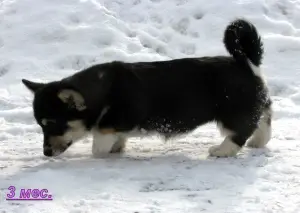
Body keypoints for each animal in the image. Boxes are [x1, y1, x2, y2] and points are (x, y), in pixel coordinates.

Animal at [22, 18, 272, 158]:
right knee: (265, 118)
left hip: (233, 111)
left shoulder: (114, 121)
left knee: (240, 132)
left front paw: (105, 151)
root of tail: (246, 63)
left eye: (52, 124)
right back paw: (259, 142)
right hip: (254, 103)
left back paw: (222, 151)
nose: (46, 153)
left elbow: (98, 143)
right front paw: (118, 147)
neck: (100, 93)